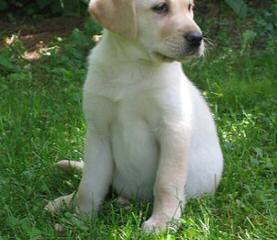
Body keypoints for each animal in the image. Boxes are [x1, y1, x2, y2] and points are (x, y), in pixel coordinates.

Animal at [44, 0, 222, 232]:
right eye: (160, 8)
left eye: (190, 7)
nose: (197, 38)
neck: (132, 64)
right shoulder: (98, 133)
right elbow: (89, 184)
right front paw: (80, 219)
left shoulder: (173, 129)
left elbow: (166, 182)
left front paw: (163, 221)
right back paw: (64, 202)